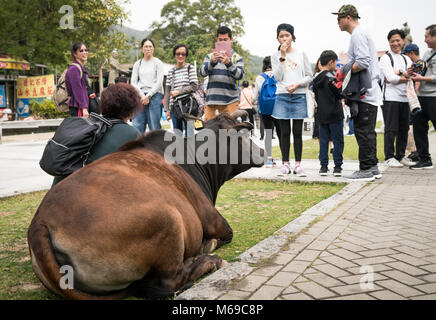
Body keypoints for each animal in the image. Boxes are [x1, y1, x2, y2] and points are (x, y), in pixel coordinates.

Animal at [29, 111, 266, 298]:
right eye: (244, 134)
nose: (263, 152)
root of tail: (41, 221)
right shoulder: (213, 220)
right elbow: (225, 235)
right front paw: (208, 245)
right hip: (169, 220)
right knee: (170, 280)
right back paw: (209, 260)